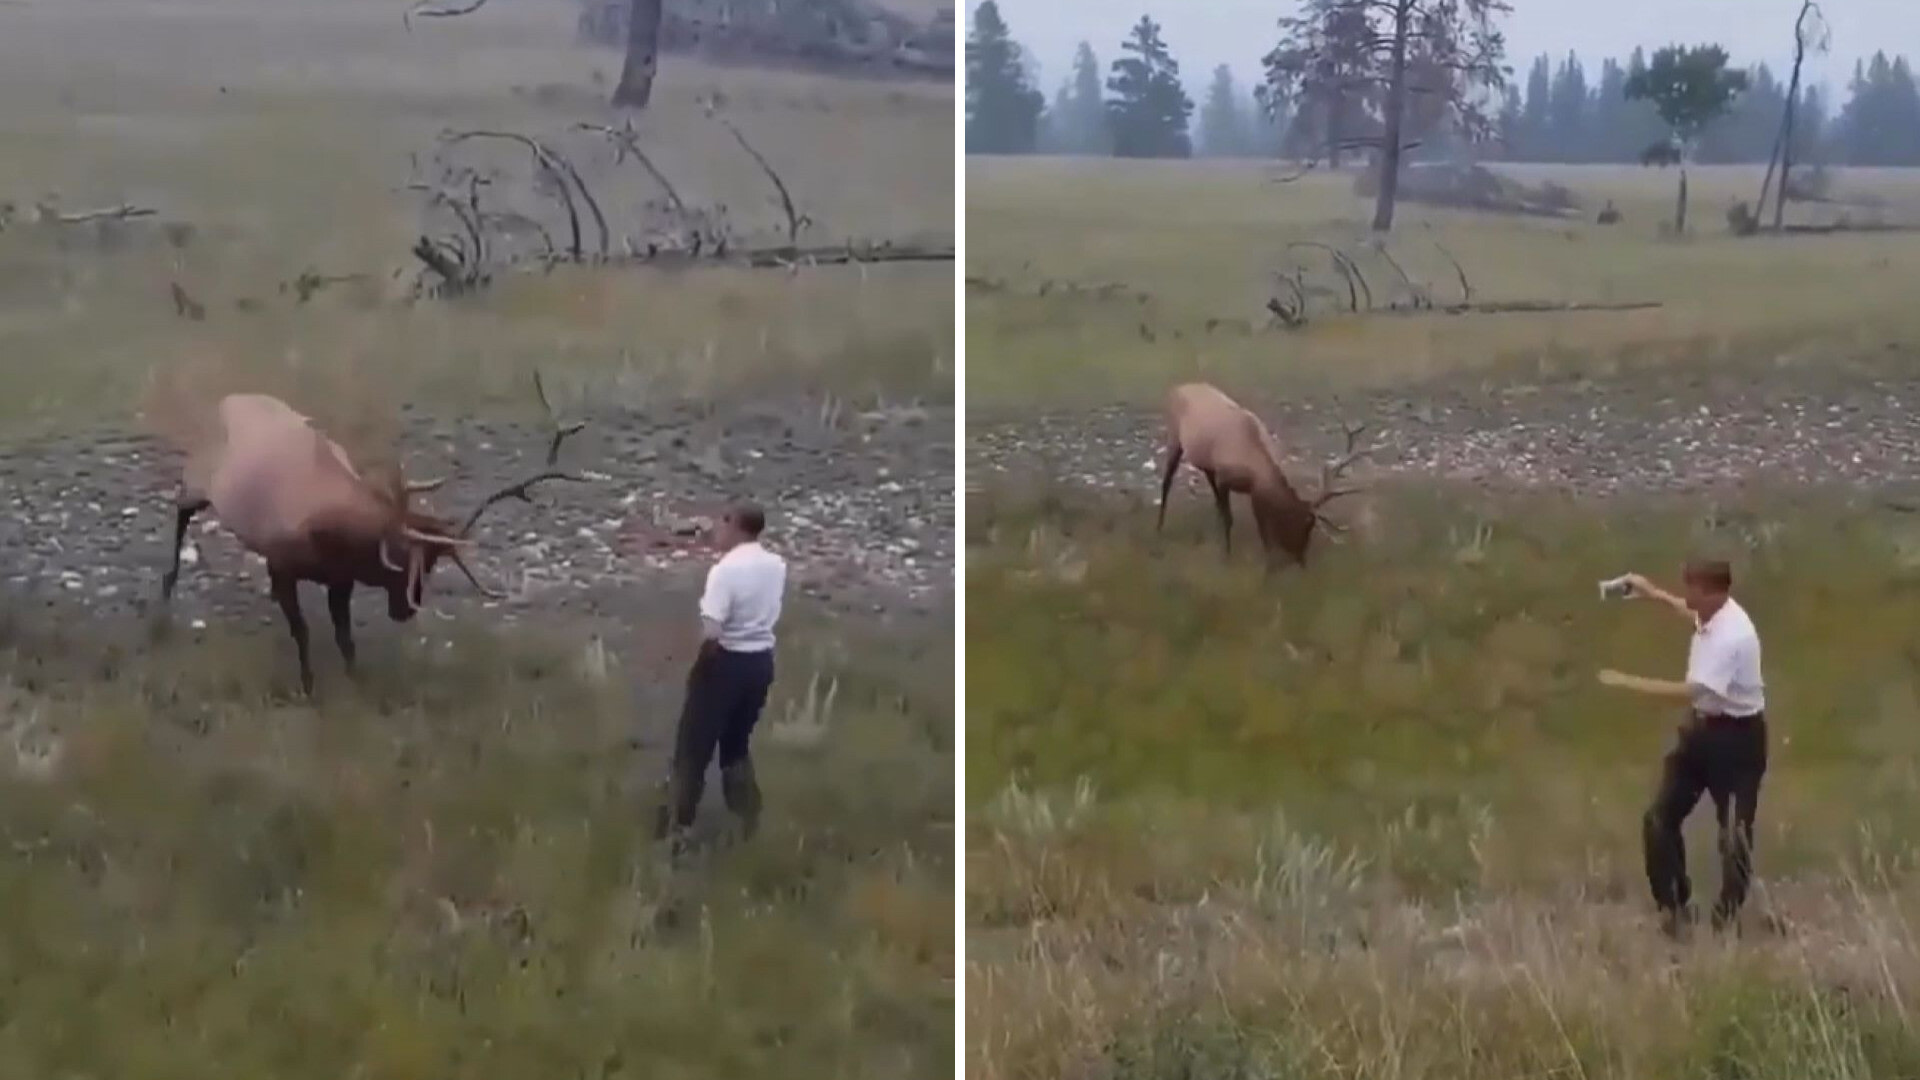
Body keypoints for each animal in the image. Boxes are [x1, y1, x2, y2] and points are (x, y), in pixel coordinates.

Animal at [161, 368, 587, 687]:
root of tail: (223, 400)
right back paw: (167, 586)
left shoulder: (340, 579)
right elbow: (303, 633)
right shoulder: (283, 564)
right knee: (179, 513)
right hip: (196, 482)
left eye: (433, 563)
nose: (406, 611)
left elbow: (345, 638)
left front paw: (355, 681)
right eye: (401, 560)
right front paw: (308, 686)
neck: (331, 540)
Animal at [1152, 378, 1367, 568]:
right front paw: (1226, 555)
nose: (1301, 560)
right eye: (1305, 524)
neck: (1254, 465)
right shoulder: (1225, 479)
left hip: (1206, 462)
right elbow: (1229, 518)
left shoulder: (1253, 490)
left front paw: (1266, 555)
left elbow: (1262, 526)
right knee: (1167, 481)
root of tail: (1175, 388)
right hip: (1174, 438)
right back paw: (1159, 528)